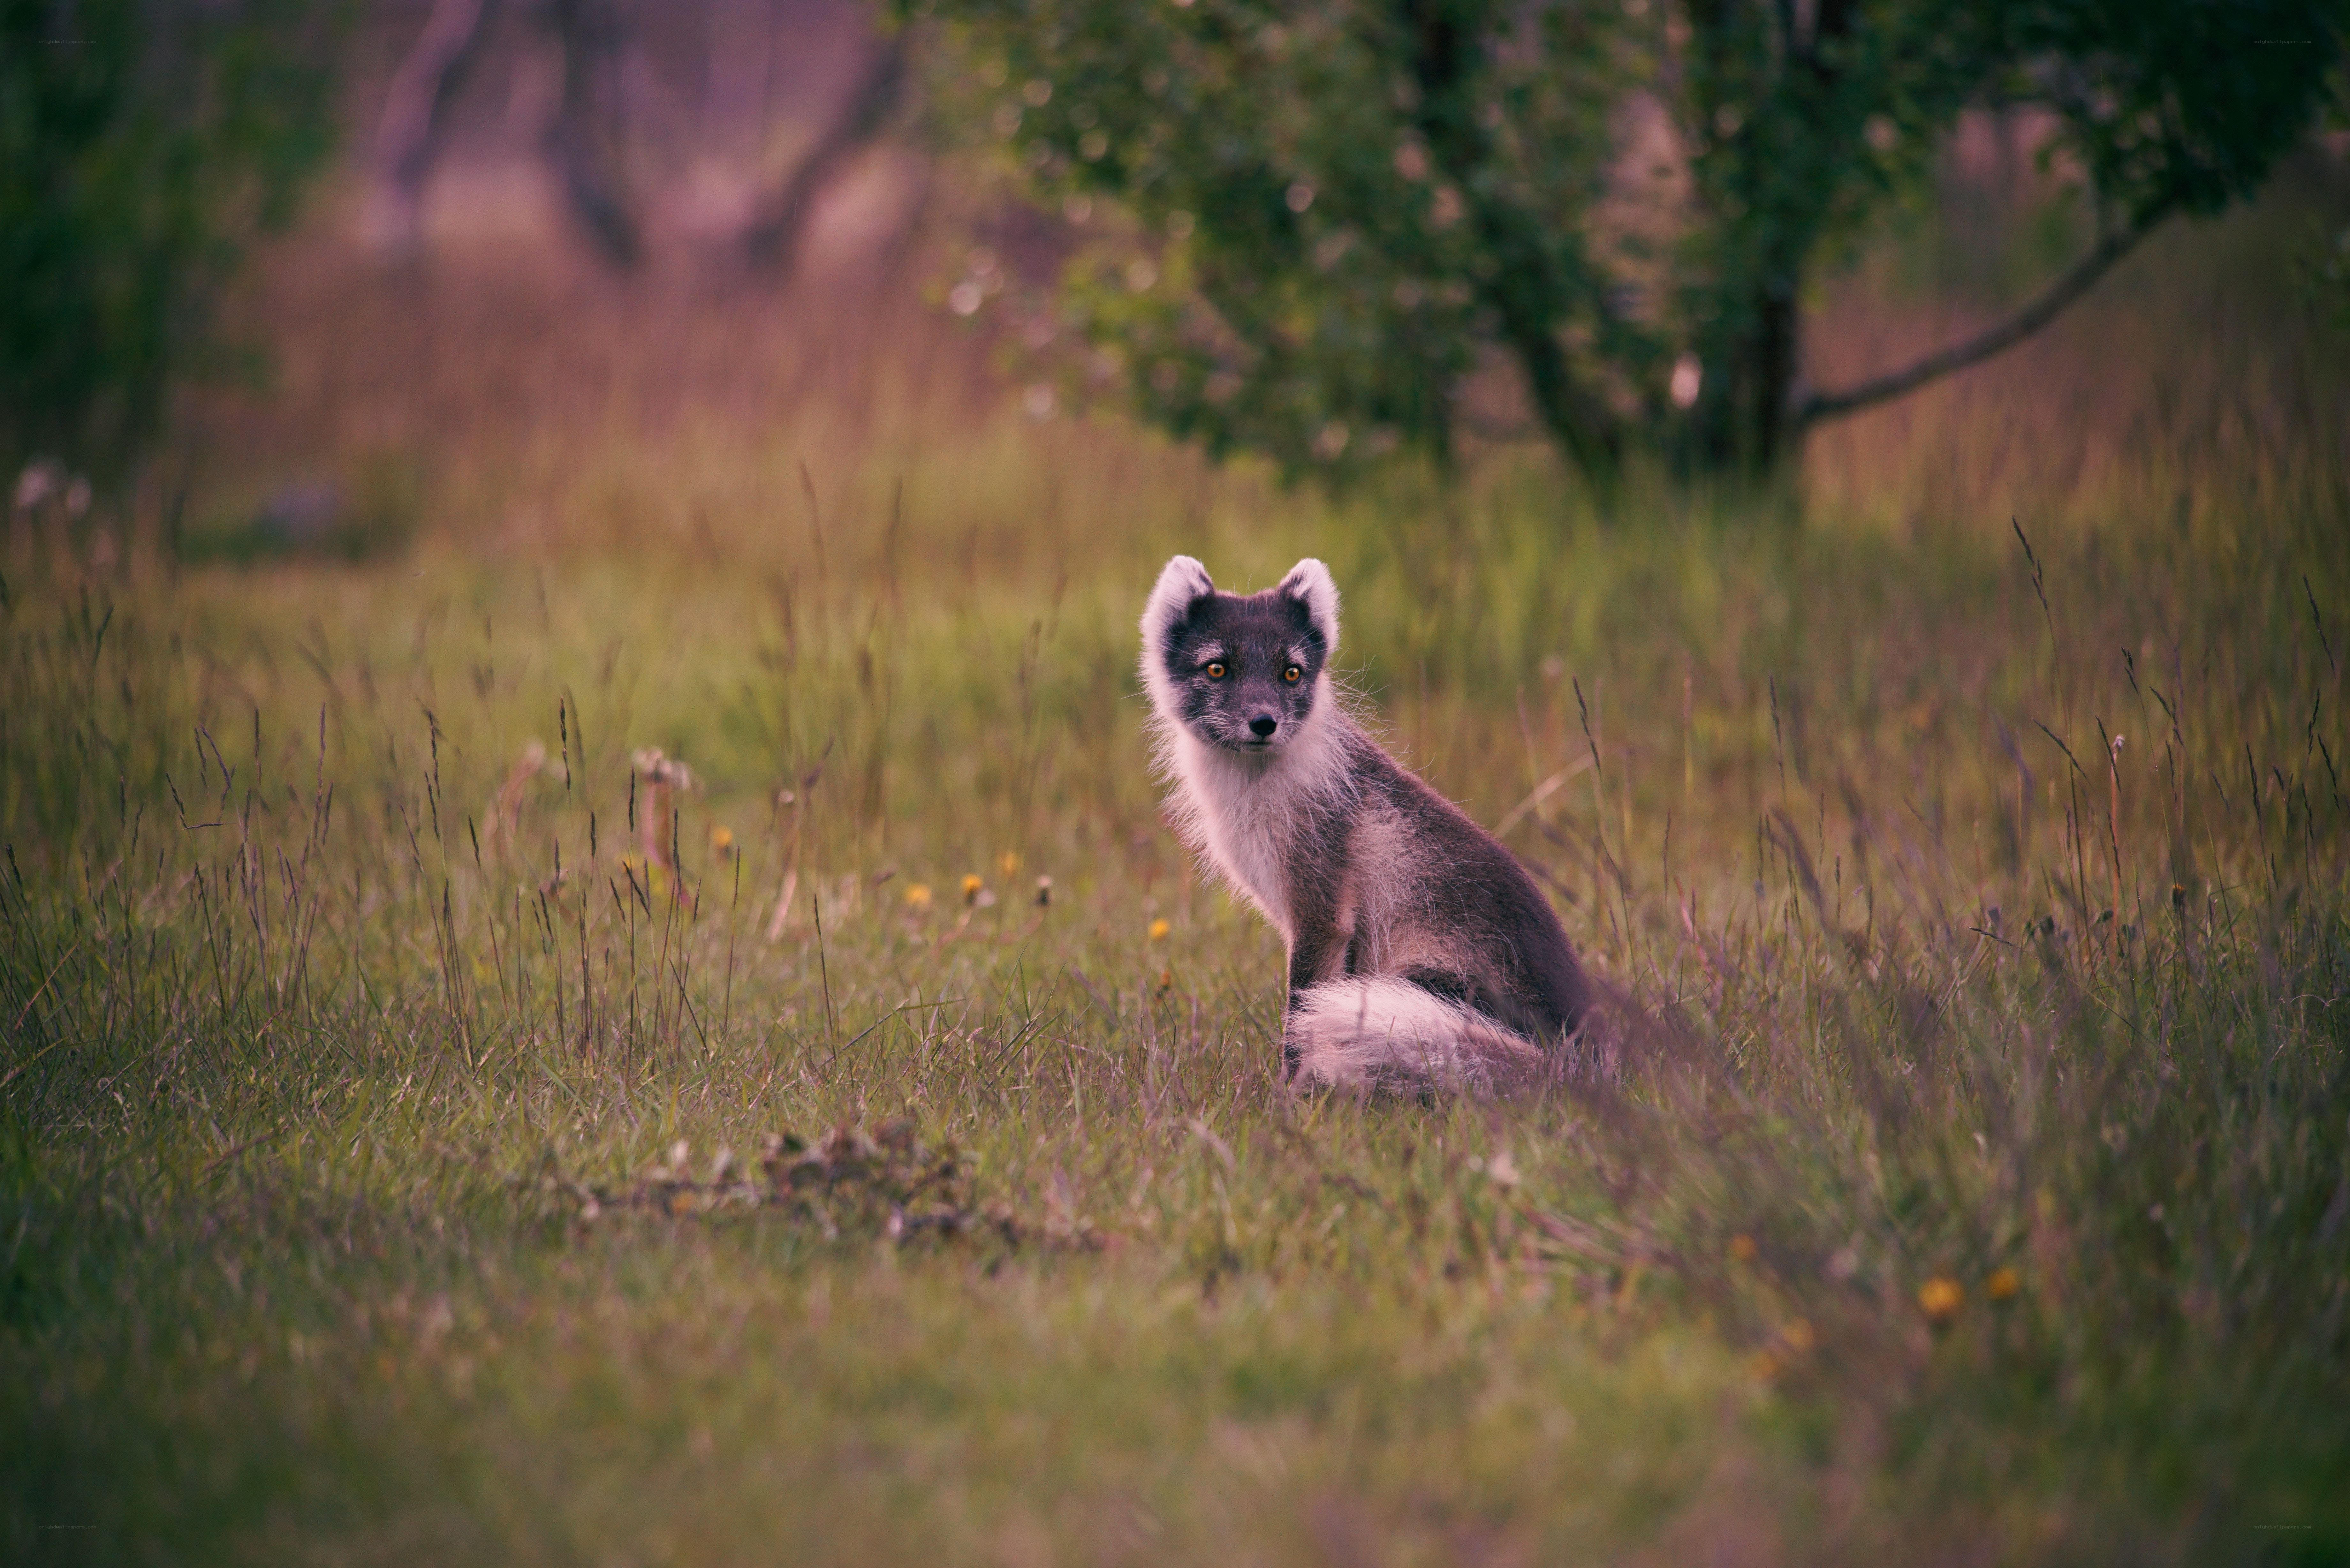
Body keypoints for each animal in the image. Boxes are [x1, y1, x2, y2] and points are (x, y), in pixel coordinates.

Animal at [1140, 555, 1592, 1091]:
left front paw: (1287, 1095)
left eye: (1291, 674)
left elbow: (1300, 1011)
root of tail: (1578, 1057)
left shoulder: (1322, 912)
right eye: (1217, 668)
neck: (1255, 790)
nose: (1264, 723)